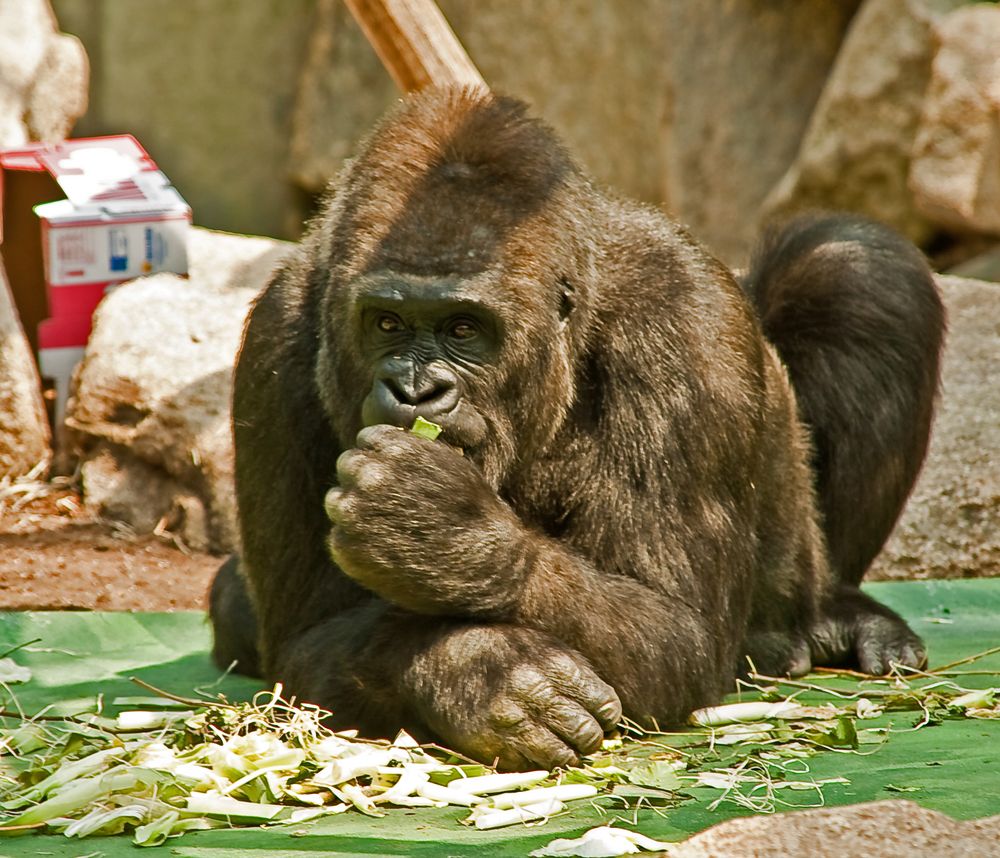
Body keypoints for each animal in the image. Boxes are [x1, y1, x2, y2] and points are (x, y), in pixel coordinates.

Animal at [207, 87, 940, 768]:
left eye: (464, 329)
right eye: (387, 323)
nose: (416, 389)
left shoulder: (686, 314)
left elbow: (677, 629)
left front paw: (446, 535)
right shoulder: (277, 337)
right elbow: (308, 640)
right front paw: (479, 670)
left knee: (856, 270)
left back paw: (833, 613)